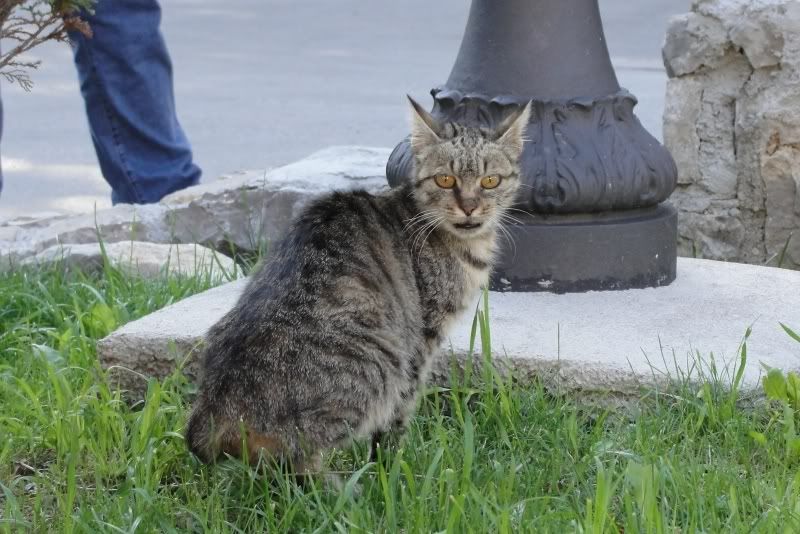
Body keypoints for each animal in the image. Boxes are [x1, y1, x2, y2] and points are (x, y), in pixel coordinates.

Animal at [187, 97, 532, 478]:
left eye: (490, 180)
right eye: (446, 179)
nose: (469, 206)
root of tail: (212, 410)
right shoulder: (419, 345)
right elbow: (397, 420)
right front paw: (390, 474)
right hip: (379, 365)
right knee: (296, 460)